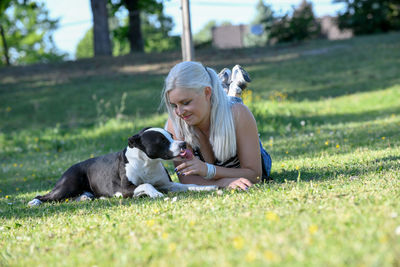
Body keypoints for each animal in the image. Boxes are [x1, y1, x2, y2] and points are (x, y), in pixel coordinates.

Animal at [28, 127, 217, 207]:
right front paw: (156, 194)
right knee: (45, 196)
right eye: (162, 140)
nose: (183, 144)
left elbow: (190, 185)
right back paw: (34, 202)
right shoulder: (126, 189)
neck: (147, 163)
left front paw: (207, 187)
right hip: (66, 187)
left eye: (171, 135)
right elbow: (146, 185)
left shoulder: (168, 185)